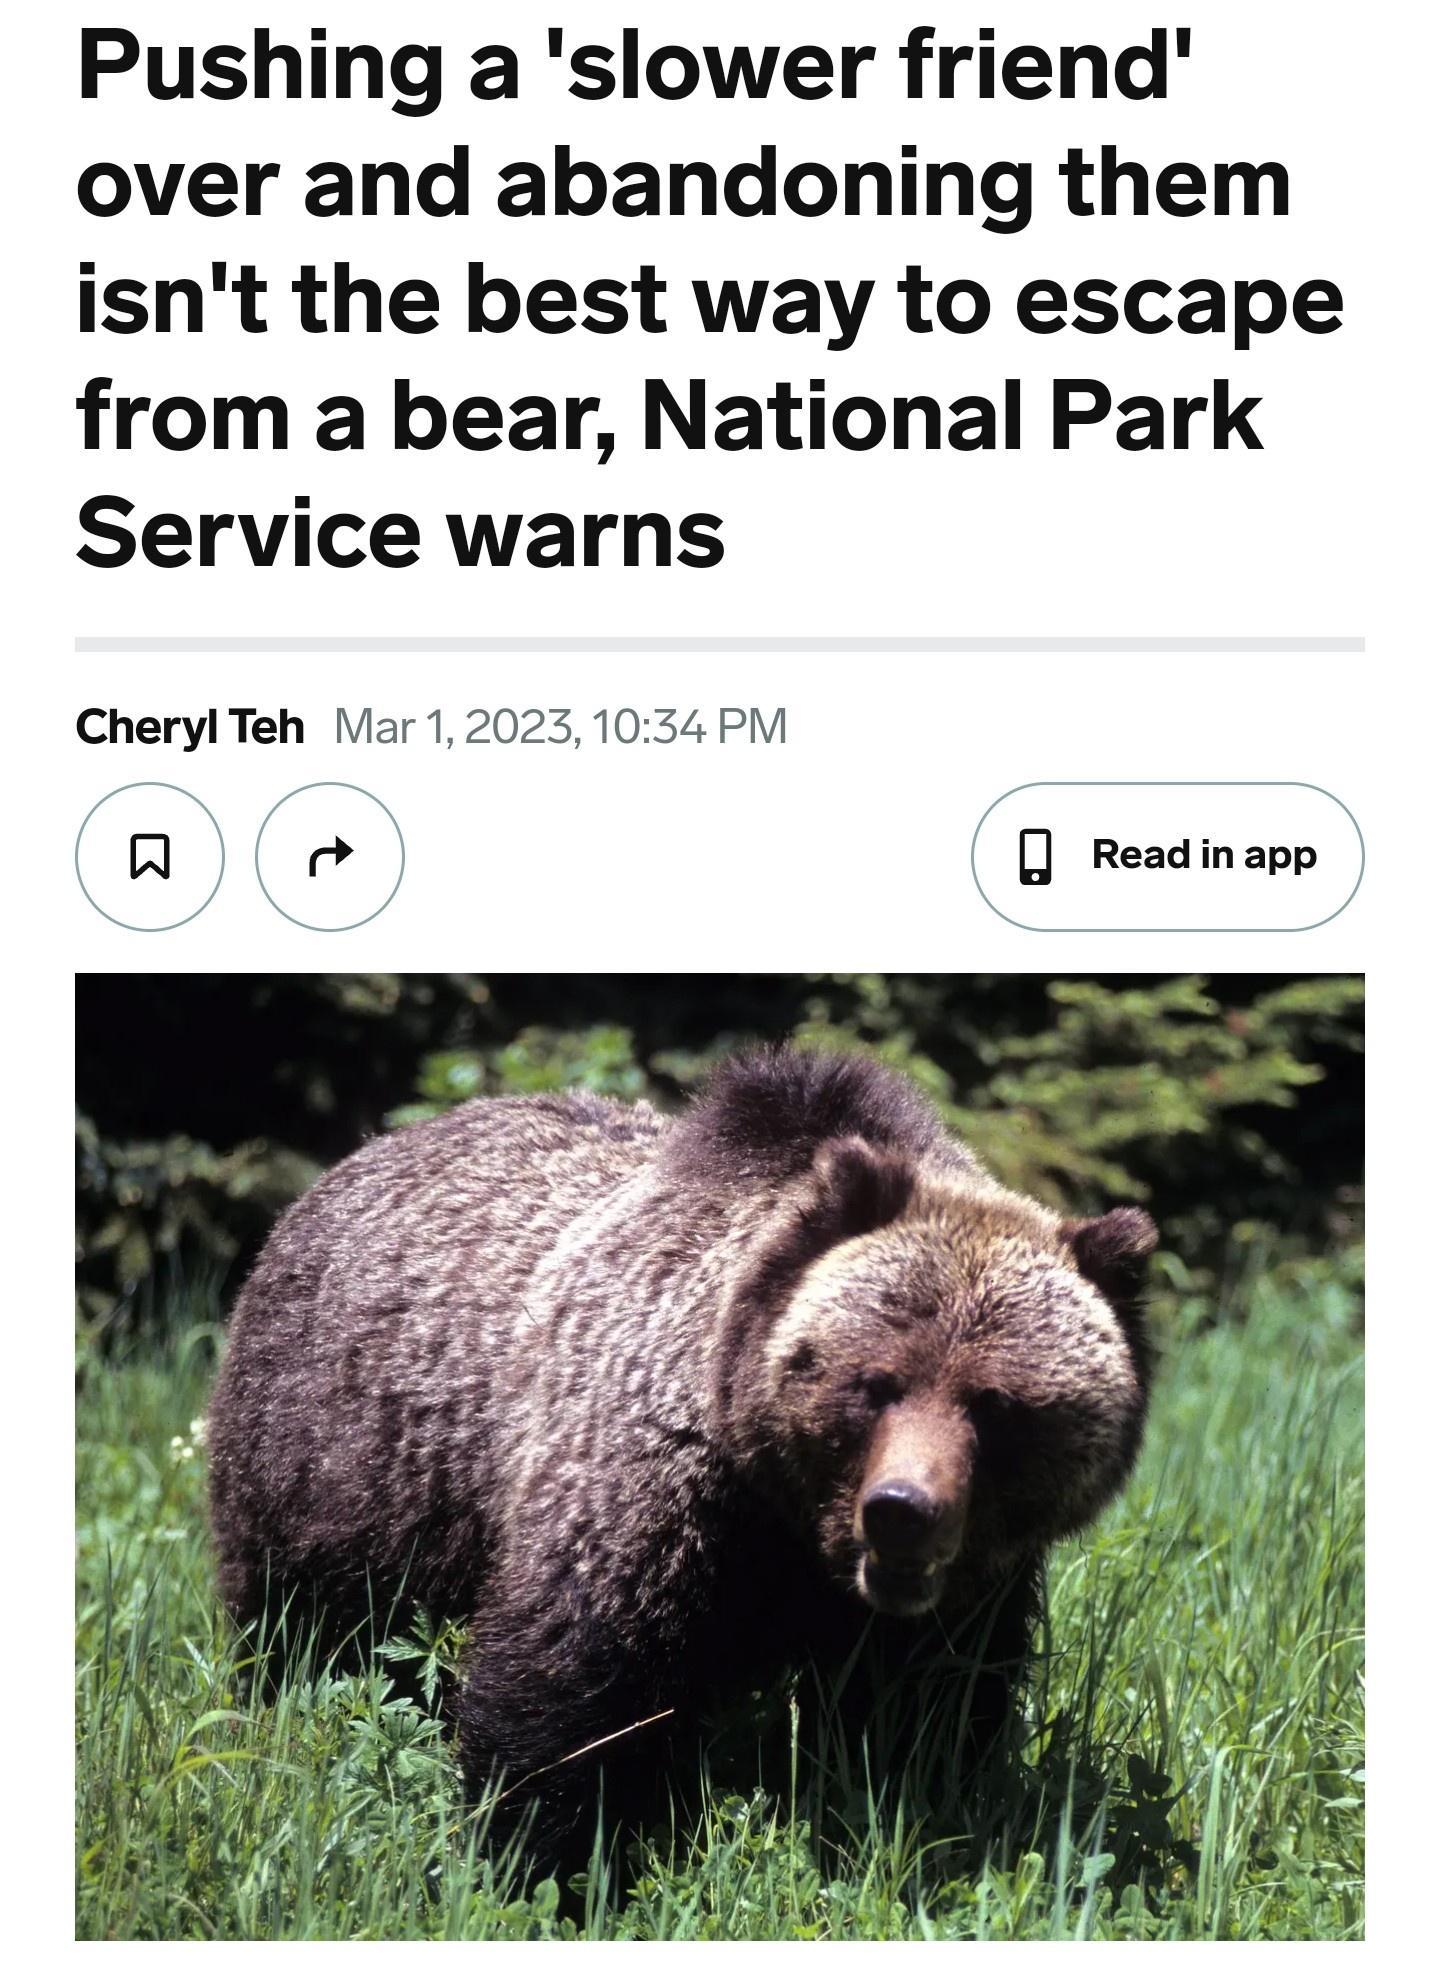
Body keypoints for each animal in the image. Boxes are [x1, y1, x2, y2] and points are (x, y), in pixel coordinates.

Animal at [207, 1046, 1157, 1859]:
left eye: (996, 1406)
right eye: (874, 1382)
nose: (902, 1513)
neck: (788, 1516)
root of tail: (353, 1160)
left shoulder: (964, 1593)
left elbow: (928, 1714)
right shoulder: (654, 1499)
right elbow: (574, 1692)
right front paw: (544, 1857)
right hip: (333, 1471)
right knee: (307, 1628)